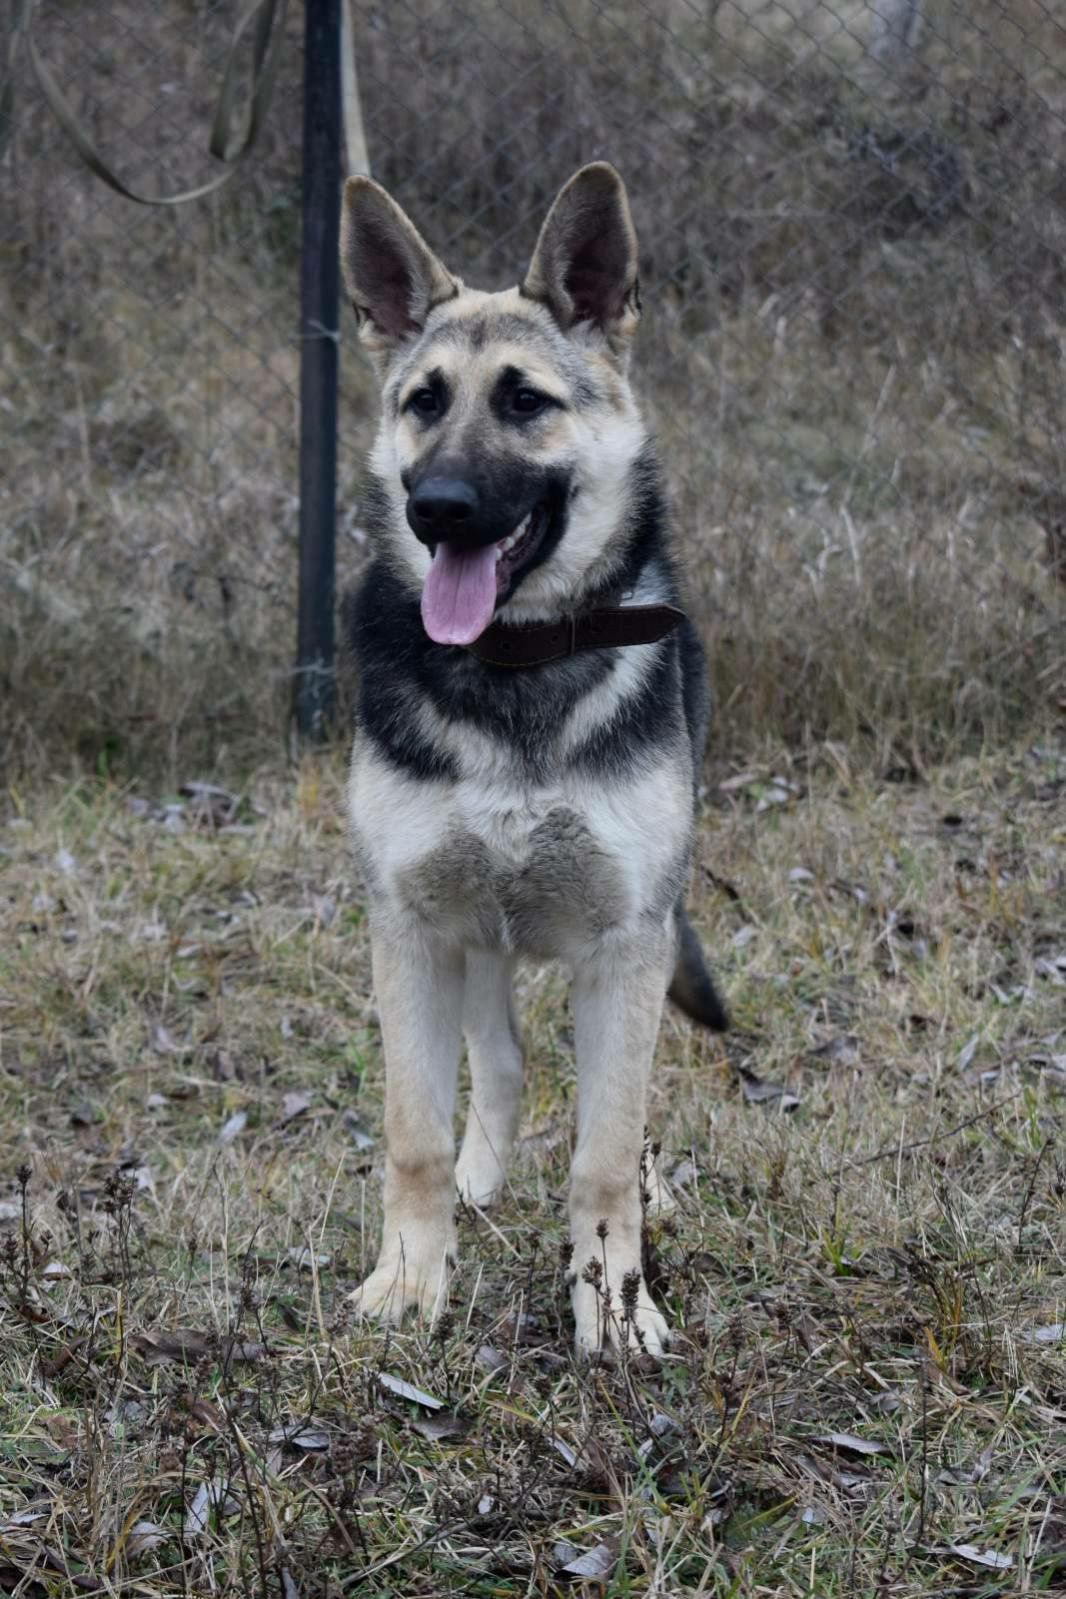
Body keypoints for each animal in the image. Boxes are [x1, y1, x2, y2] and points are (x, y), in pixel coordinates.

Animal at [340, 162, 725, 1355]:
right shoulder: (415, 933)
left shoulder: (628, 946)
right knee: (500, 1064)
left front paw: (615, 1304)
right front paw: (410, 1280)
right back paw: (479, 1184)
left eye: (523, 402)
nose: (436, 508)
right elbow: (415, 1134)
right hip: (473, 945)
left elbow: (604, 1153)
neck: (516, 664)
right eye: (423, 402)